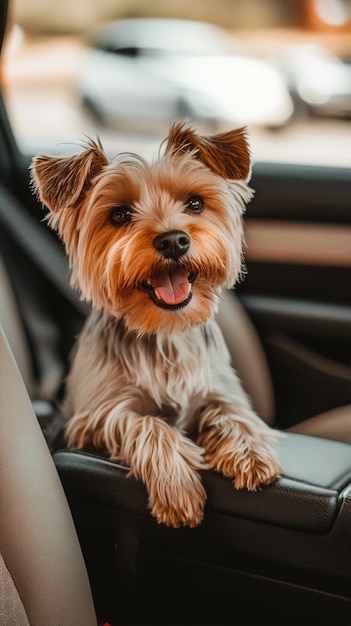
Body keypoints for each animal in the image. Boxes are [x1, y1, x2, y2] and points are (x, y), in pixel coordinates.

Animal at [30, 119, 284, 524]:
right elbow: (145, 423)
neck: (165, 331)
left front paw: (250, 453)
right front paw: (177, 487)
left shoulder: (219, 387)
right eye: (119, 215)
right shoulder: (94, 418)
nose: (173, 240)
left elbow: (233, 412)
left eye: (195, 203)